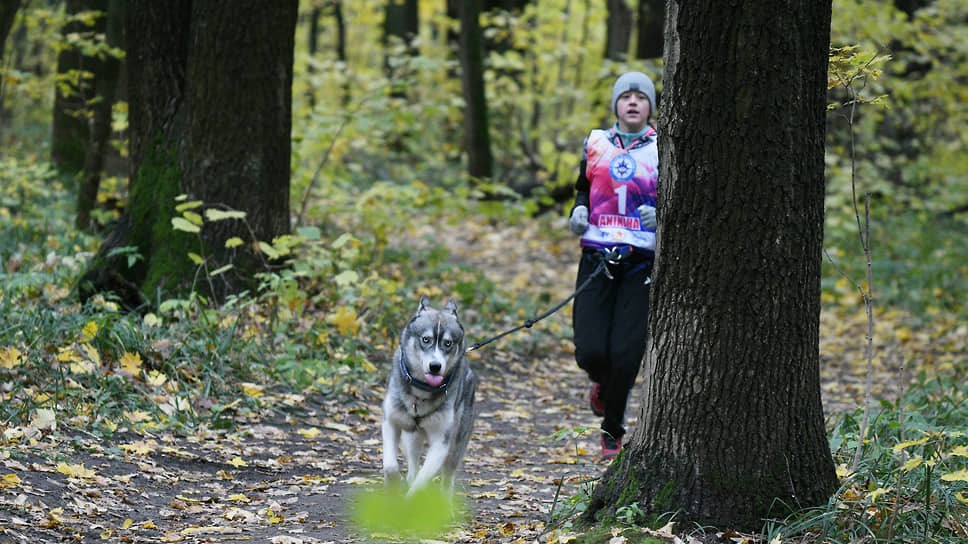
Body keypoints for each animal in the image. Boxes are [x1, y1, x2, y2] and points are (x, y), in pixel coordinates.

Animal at [384, 296, 478, 496]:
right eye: (425, 339)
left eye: (448, 343)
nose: (435, 366)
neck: (422, 391)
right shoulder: (391, 422)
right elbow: (390, 466)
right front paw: (393, 483)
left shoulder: (441, 442)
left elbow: (421, 482)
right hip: (411, 437)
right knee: (413, 464)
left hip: (456, 445)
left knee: (447, 478)